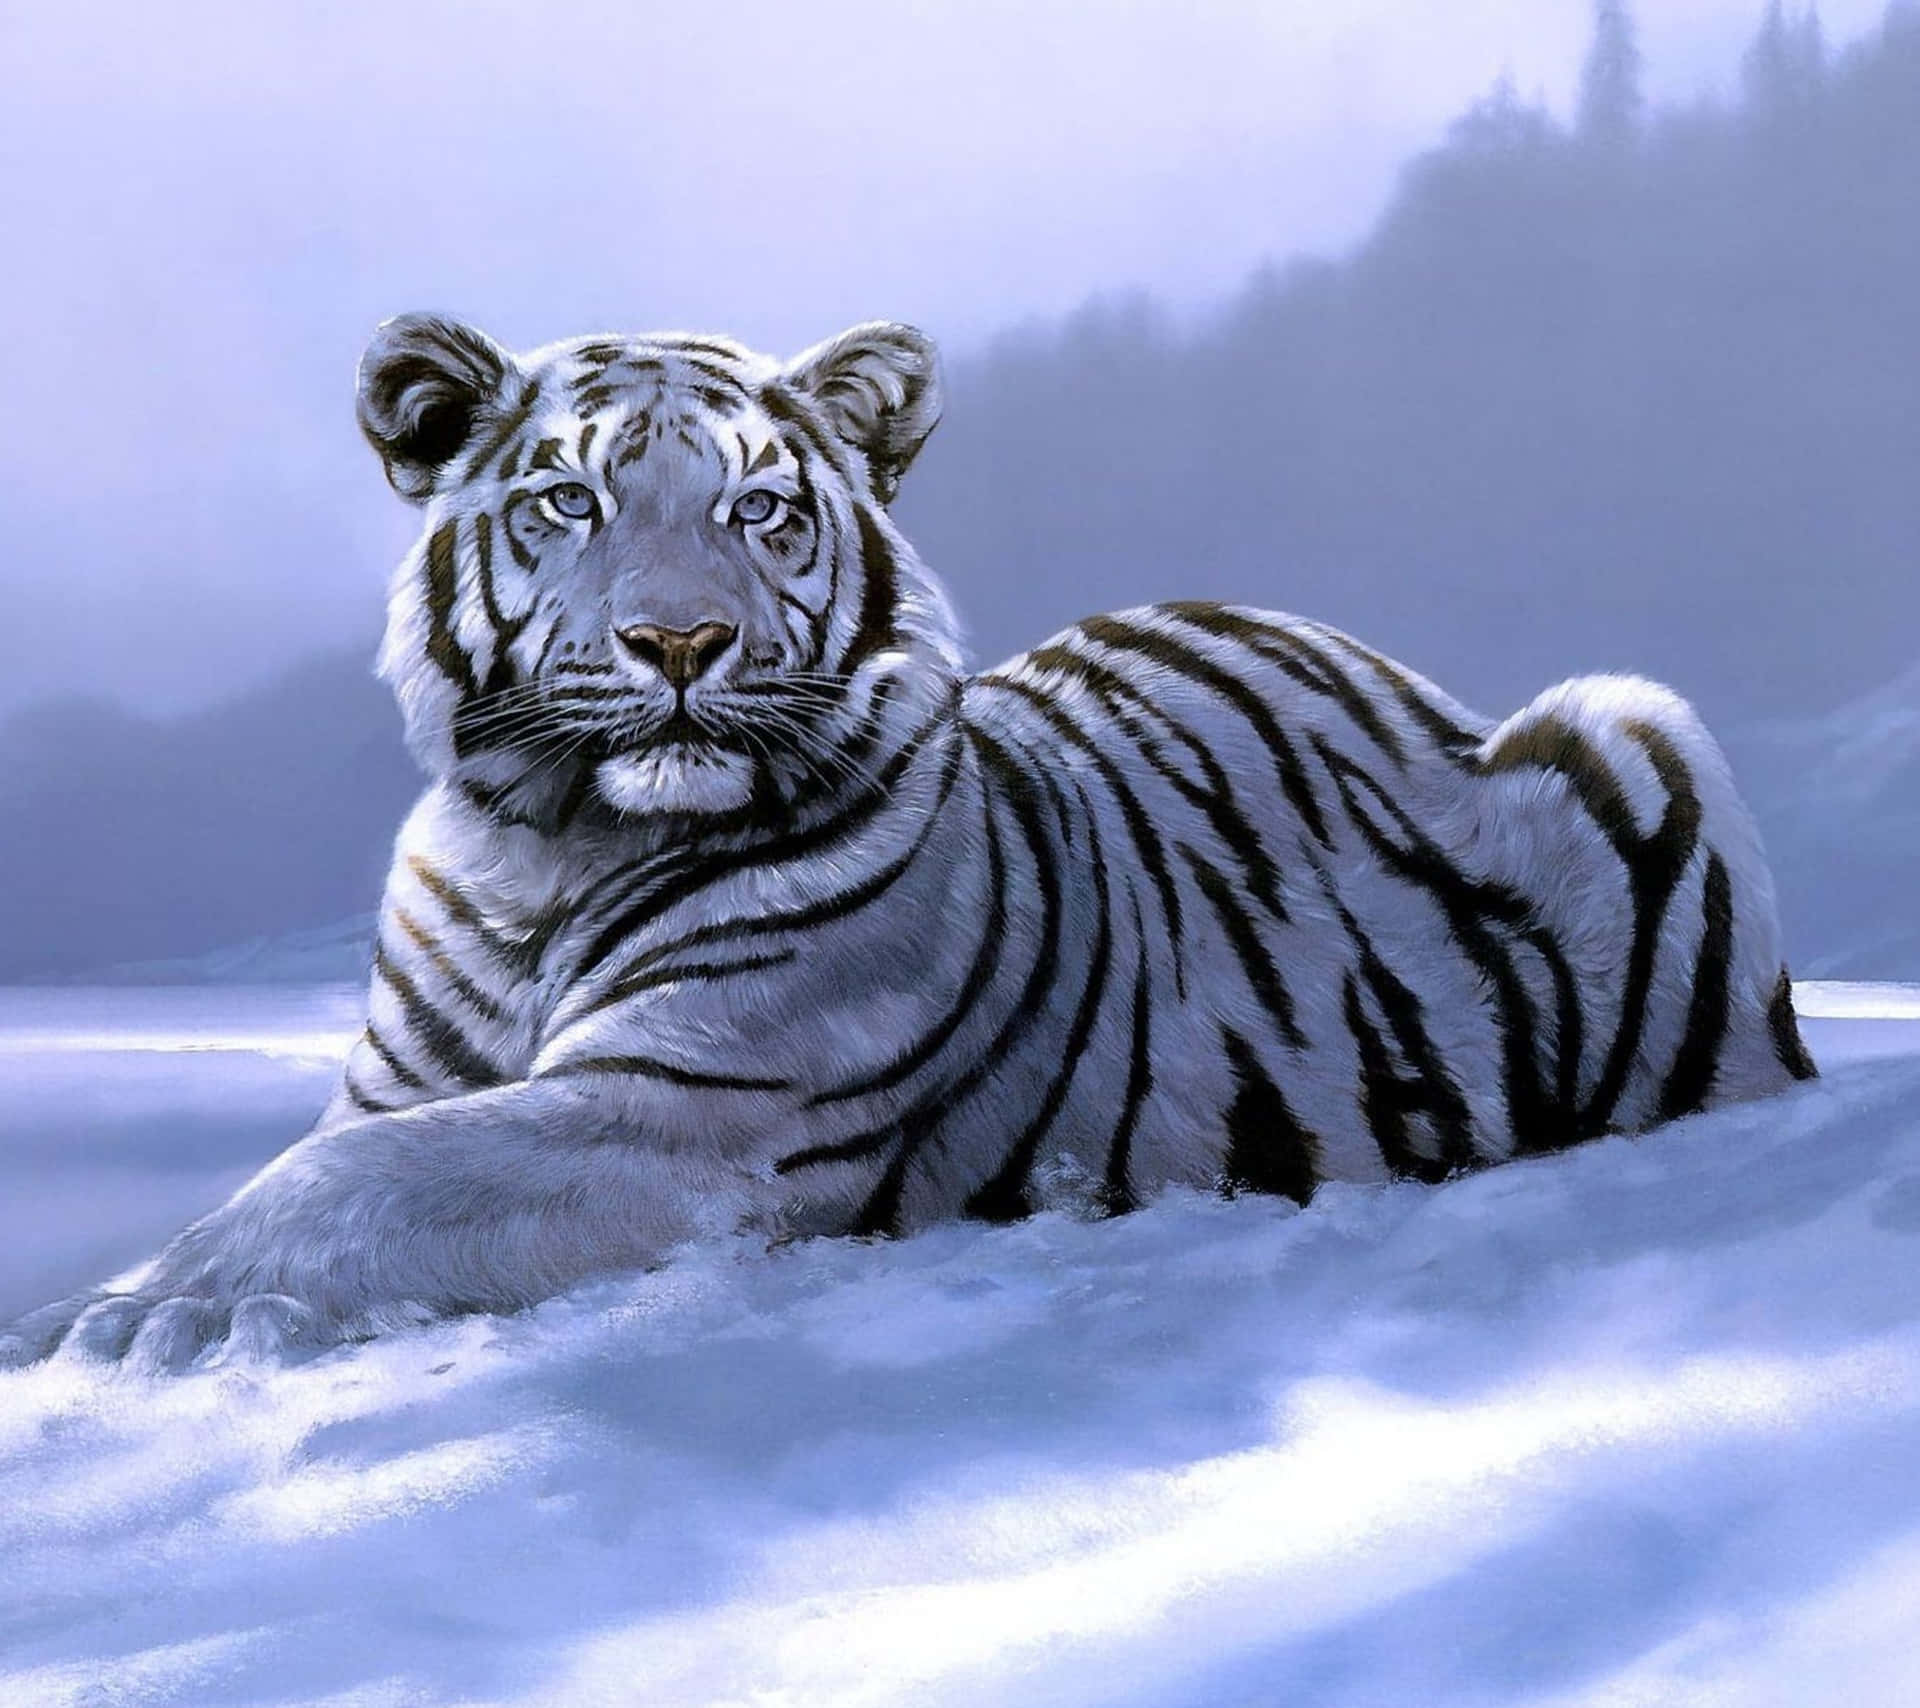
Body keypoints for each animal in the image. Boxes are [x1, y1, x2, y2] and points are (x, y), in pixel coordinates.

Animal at [1, 312, 1818, 1370]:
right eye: (568, 502)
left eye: (759, 508)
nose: (679, 644)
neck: (552, 853)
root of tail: (1391, 666)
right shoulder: (408, 1074)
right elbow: (338, 1151)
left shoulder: (692, 1109)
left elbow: (351, 1182)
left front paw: (122, 1319)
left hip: (1638, 725)